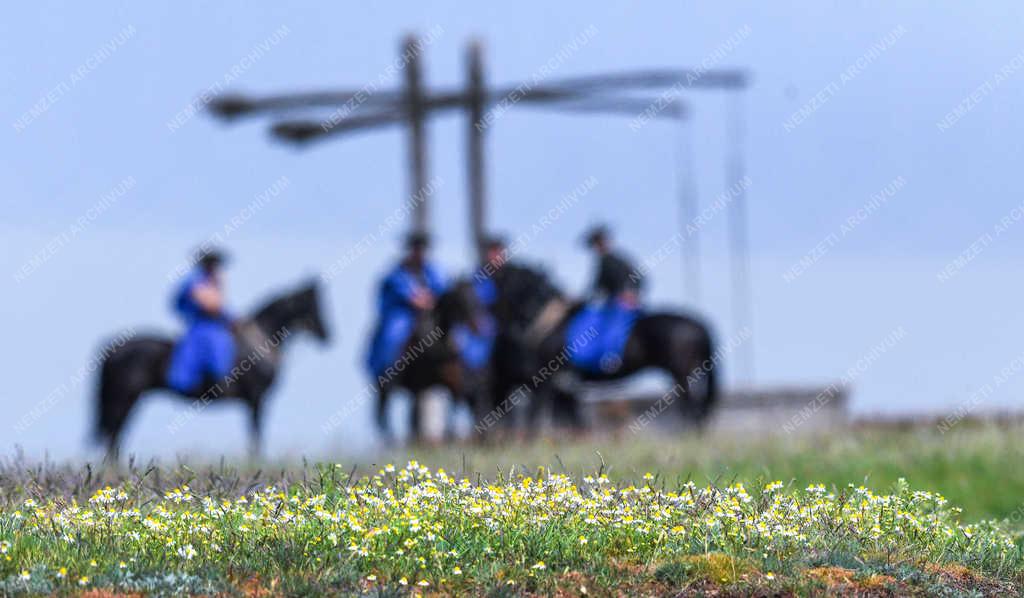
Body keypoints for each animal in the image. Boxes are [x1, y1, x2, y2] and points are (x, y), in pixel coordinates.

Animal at [94, 280, 329, 458]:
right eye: (314, 304)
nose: (328, 335)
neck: (262, 339)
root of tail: (111, 349)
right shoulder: (257, 398)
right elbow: (256, 434)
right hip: (124, 397)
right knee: (112, 434)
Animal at [374, 276, 485, 444]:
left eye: (475, 295)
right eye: (460, 299)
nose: (477, 326)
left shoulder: (454, 383)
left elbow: (452, 411)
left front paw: (451, 437)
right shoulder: (419, 385)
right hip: (387, 386)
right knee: (384, 413)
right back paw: (393, 440)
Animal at [487, 266, 720, 434]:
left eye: (506, 281)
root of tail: (701, 324)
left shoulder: (546, 381)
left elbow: (538, 418)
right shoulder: (564, 386)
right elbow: (571, 421)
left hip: (682, 373)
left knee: (692, 408)